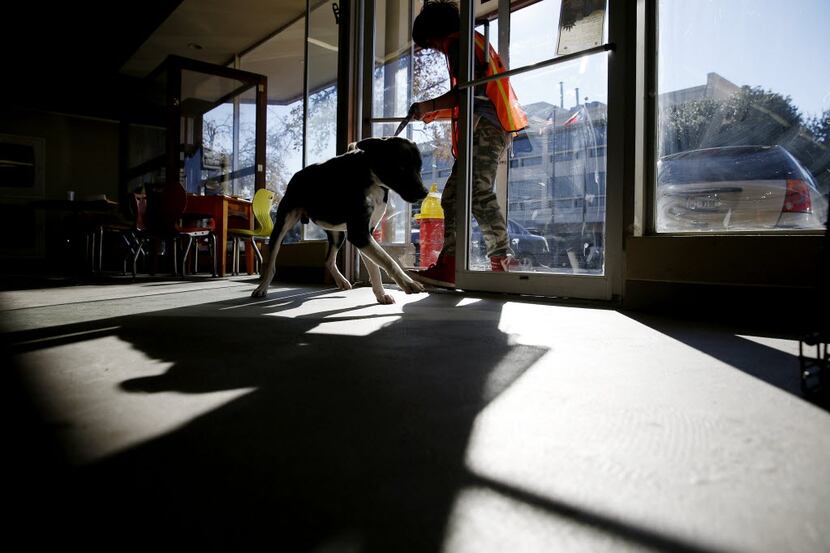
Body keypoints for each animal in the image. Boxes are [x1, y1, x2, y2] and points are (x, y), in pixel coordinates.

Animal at [250, 136, 428, 304]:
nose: (425, 193)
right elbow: (387, 260)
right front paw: (407, 282)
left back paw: (341, 280)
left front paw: (381, 294)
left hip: (338, 234)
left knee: (329, 260)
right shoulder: (359, 234)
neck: (369, 174)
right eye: (401, 166)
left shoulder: (365, 234)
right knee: (271, 263)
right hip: (282, 225)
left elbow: (375, 266)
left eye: (419, 168)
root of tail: (297, 176)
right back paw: (262, 287)